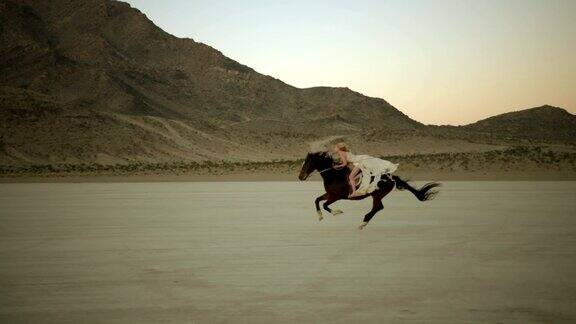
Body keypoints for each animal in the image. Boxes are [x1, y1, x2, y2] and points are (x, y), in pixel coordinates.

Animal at [300, 151, 438, 229]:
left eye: (307, 163)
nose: (300, 177)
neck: (334, 175)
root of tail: (390, 177)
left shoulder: (336, 196)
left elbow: (324, 204)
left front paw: (337, 212)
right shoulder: (330, 194)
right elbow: (317, 200)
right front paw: (320, 217)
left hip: (377, 195)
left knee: (378, 207)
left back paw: (363, 223)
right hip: (376, 195)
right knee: (378, 207)